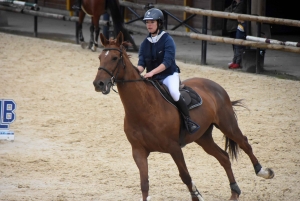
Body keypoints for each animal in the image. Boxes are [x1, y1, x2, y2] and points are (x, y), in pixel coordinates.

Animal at [93, 32, 274, 201]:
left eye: (115, 58)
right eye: (100, 58)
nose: (98, 84)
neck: (143, 109)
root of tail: (214, 85)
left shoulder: (174, 148)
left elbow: (185, 176)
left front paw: (197, 196)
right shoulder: (138, 151)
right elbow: (144, 184)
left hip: (227, 124)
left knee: (244, 143)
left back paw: (263, 172)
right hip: (203, 137)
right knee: (223, 157)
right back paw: (234, 192)